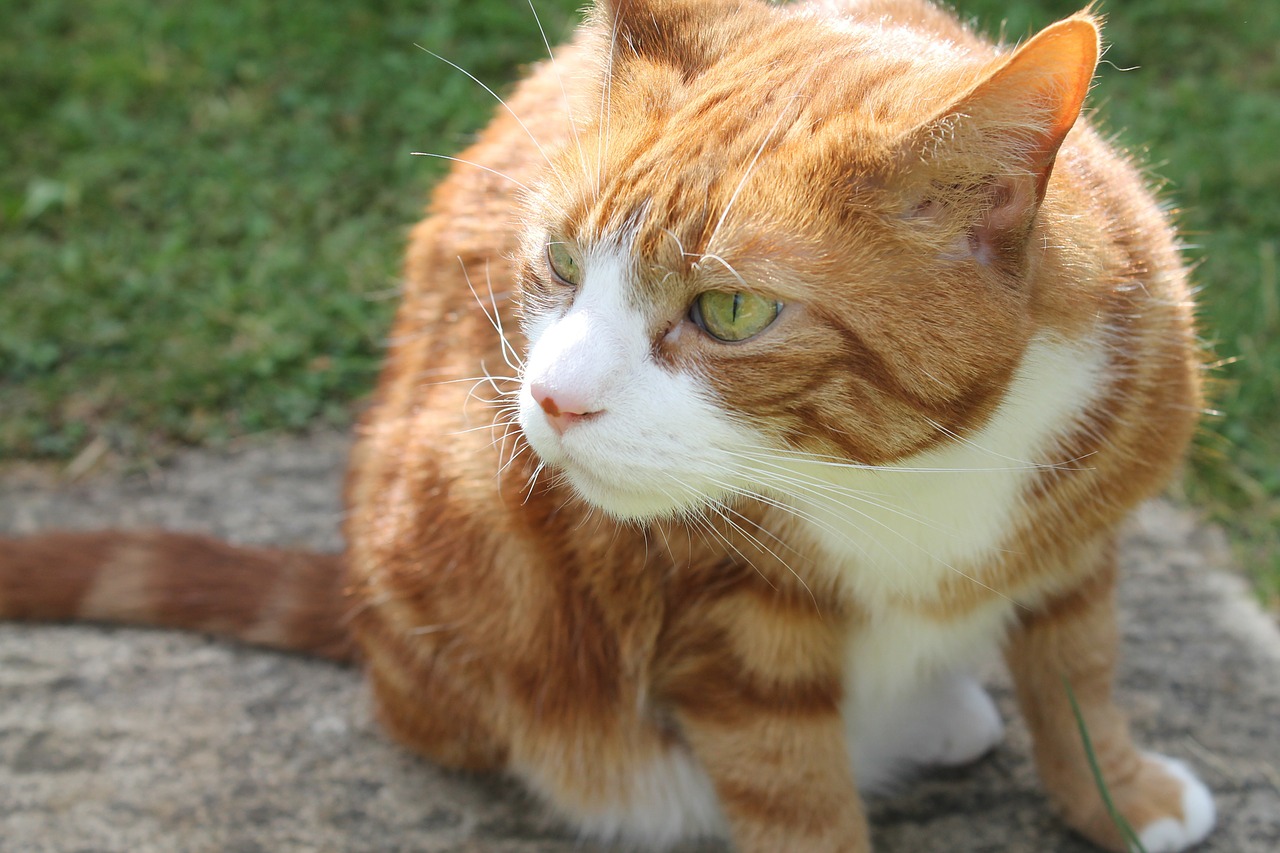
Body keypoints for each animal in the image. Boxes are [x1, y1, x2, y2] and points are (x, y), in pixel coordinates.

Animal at [2, 1, 1218, 850]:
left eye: (732, 311)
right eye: (556, 260)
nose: (551, 398)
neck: (898, 472)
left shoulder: (1079, 533)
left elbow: (1077, 679)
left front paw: (1121, 796)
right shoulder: (727, 637)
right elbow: (796, 795)